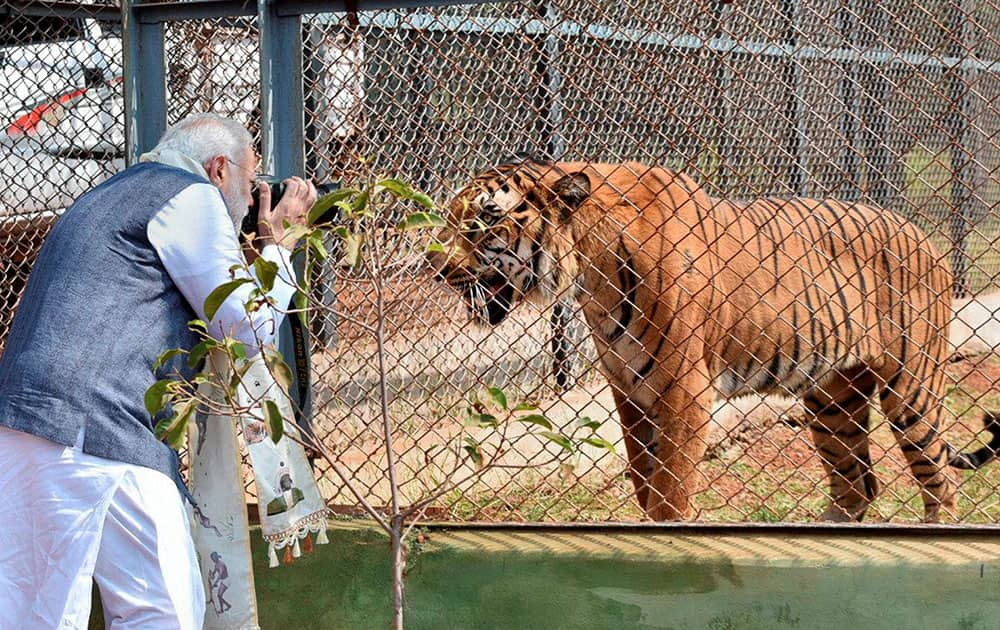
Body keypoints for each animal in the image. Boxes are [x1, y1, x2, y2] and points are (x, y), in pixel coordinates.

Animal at [430, 157, 1000, 524]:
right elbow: (643, 478)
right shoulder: (629, 391)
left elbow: (670, 493)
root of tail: (925, 235)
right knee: (857, 484)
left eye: (483, 221)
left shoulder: (685, 392)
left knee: (939, 483)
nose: (435, 268)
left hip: (910, 389)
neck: (588, 274)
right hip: (831, 399)